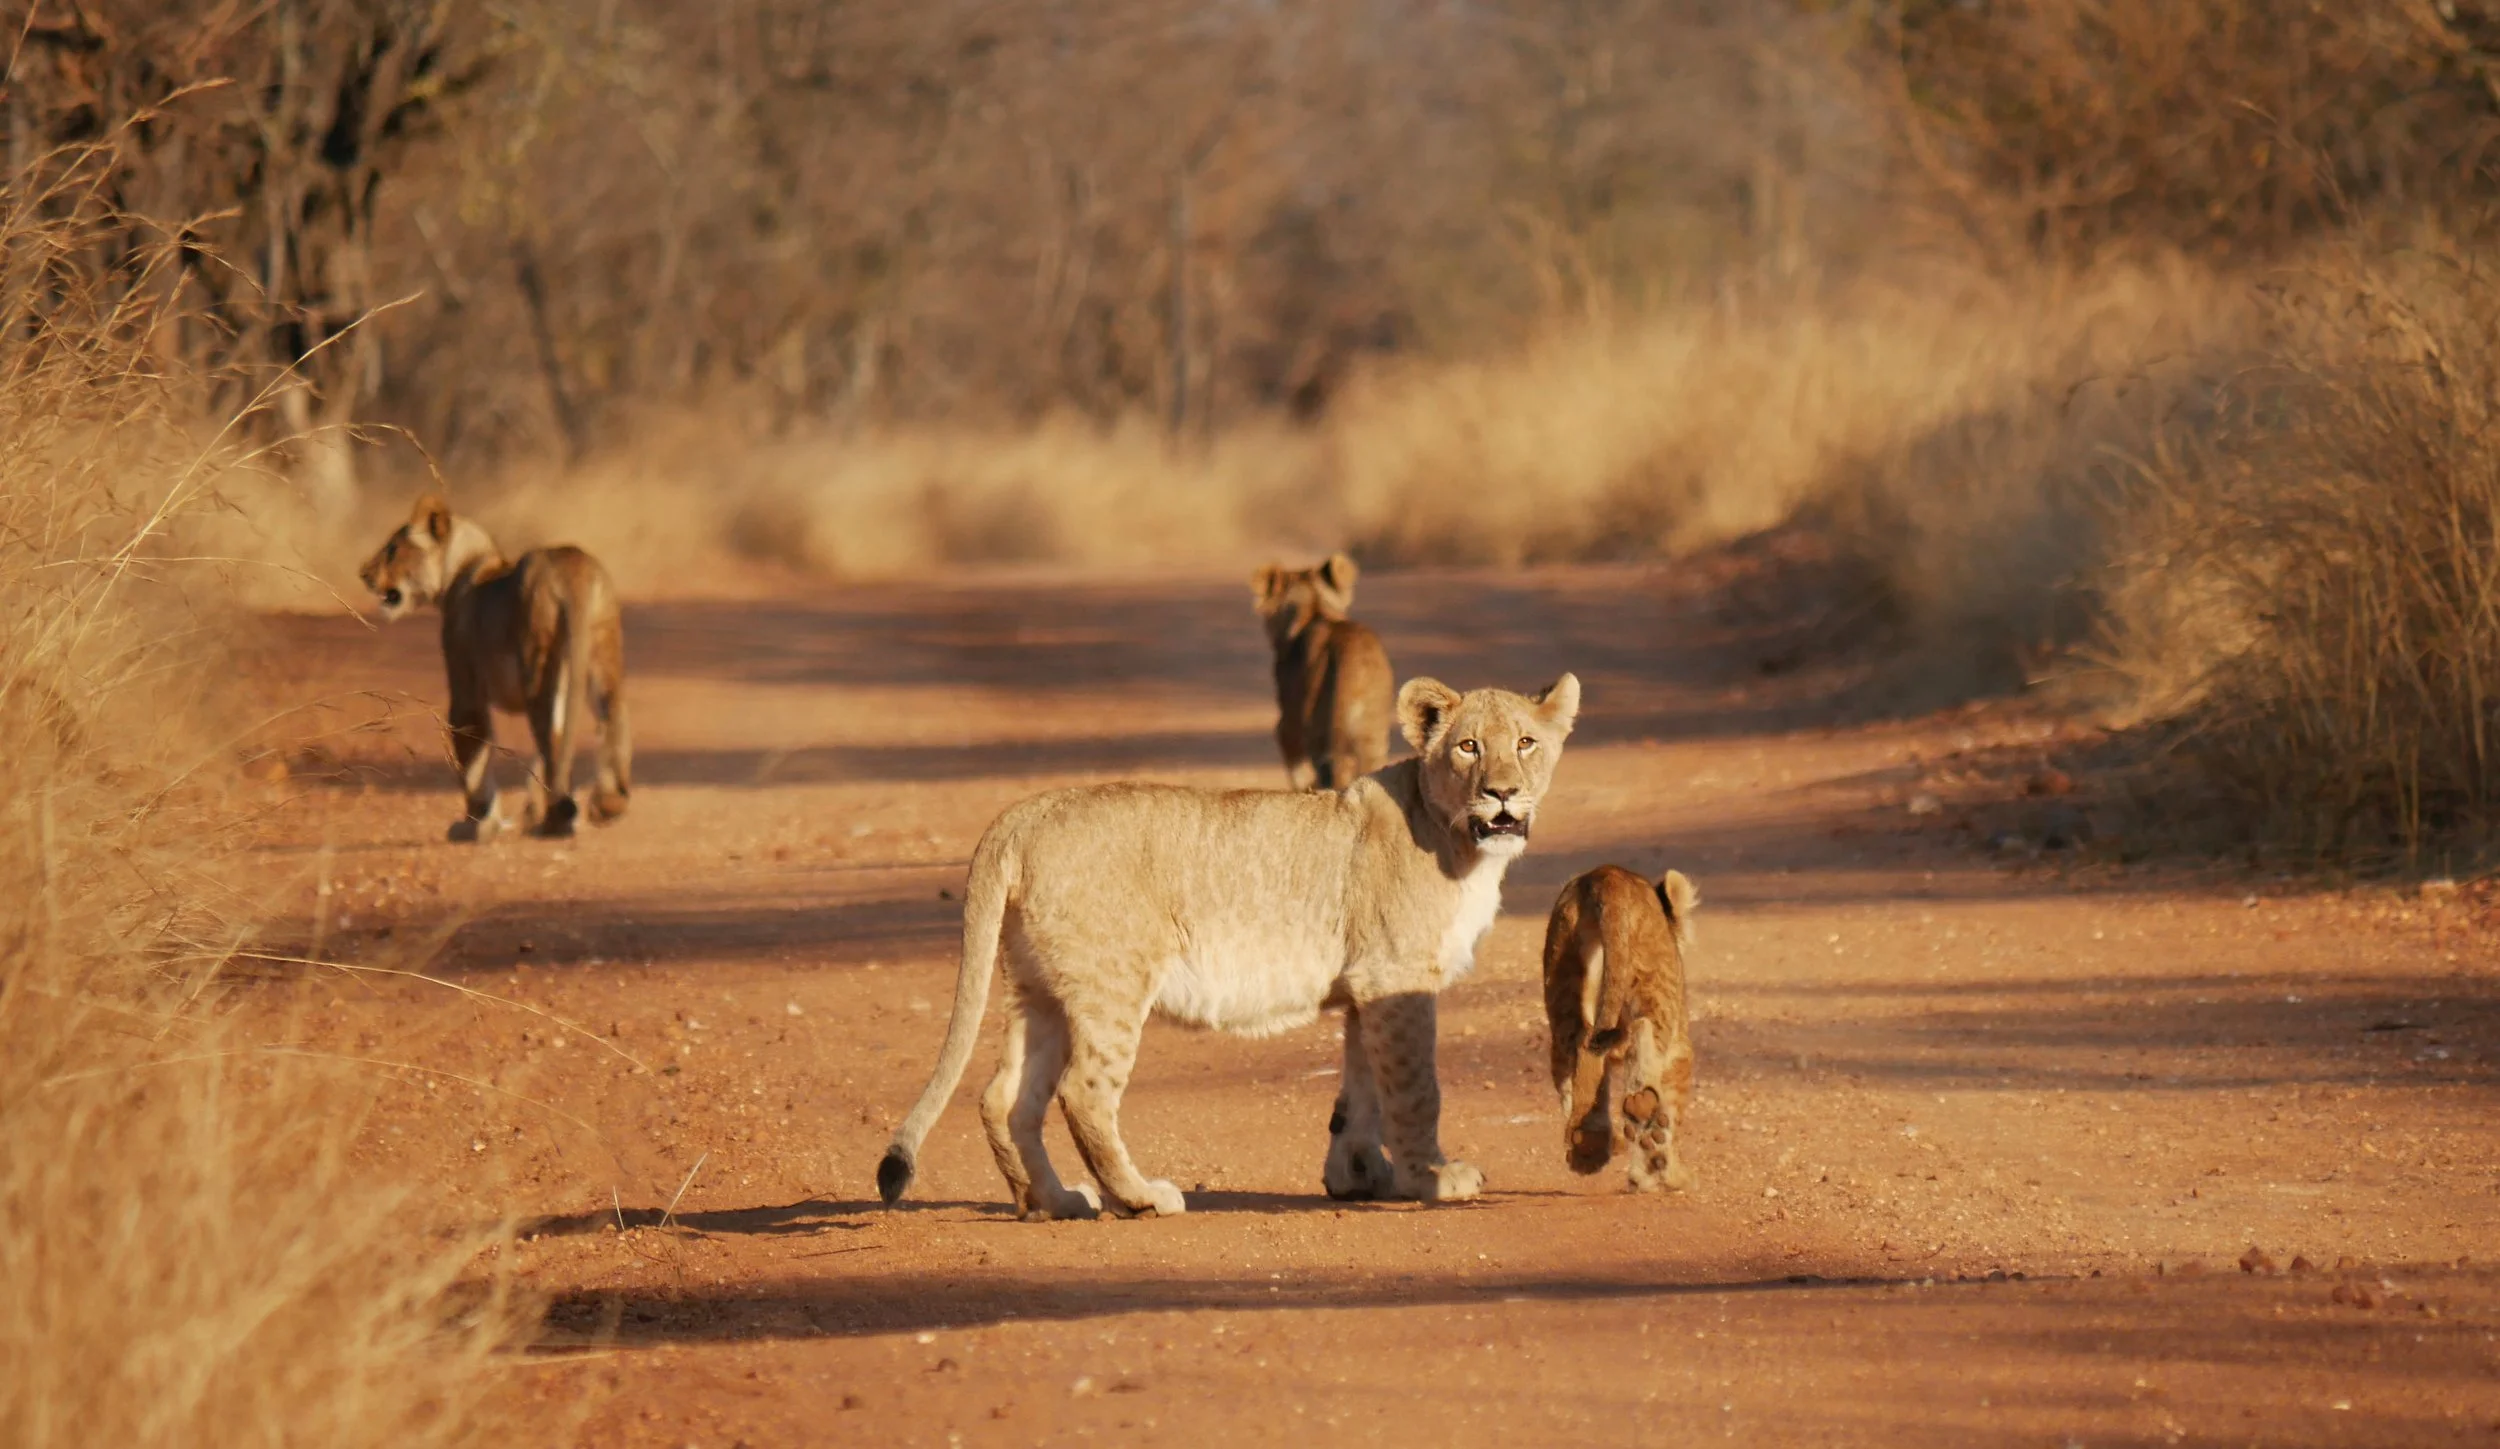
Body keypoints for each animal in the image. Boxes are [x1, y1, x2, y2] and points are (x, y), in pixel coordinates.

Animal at [359, 494, 631, 842]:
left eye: (393, 549)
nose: (363, 574)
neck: (464, 568)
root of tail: (573, 566)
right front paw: (521, 814)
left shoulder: (466, 686)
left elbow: (470, 750)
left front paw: (475, 823)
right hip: (601, 649)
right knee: (611, 715)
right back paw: (606, 806)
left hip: (537, 663)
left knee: (551, 738)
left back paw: (555, 822)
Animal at [875, 672, 1582, 1219]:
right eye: (1468, 746)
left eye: (1526, 743)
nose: (1502, 792)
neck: (1461, 843)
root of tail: (1022, 815)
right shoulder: (1397, 976)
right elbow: (1414, 1088)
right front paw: (1431, 1178)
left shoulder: (1370, 985)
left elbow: (1361, 1087)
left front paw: (1358, 1175)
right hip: (1113, 982)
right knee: (1083, 1093)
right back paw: (1140, 1197)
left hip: (1040, 989)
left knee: (1006, 1098)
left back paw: (1055, 1202)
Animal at [1252, 553, 1394, 791]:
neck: (1314, 607)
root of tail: (1348, 646)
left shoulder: (1287, 726)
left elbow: (1297, 774)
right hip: (1373, 731)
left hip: (1316, 724)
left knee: (1332, 770)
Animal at [1541, 864, 1698, 1192]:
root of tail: (1605, 876)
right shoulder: (1680, 1052)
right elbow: (1671, 1116)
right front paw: (1668, 1174)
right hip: (1655, 989)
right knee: (1641, 1030)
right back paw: (1639, 1107)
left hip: (1562, 984)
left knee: (1580, 1050)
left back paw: (1588, 1147)